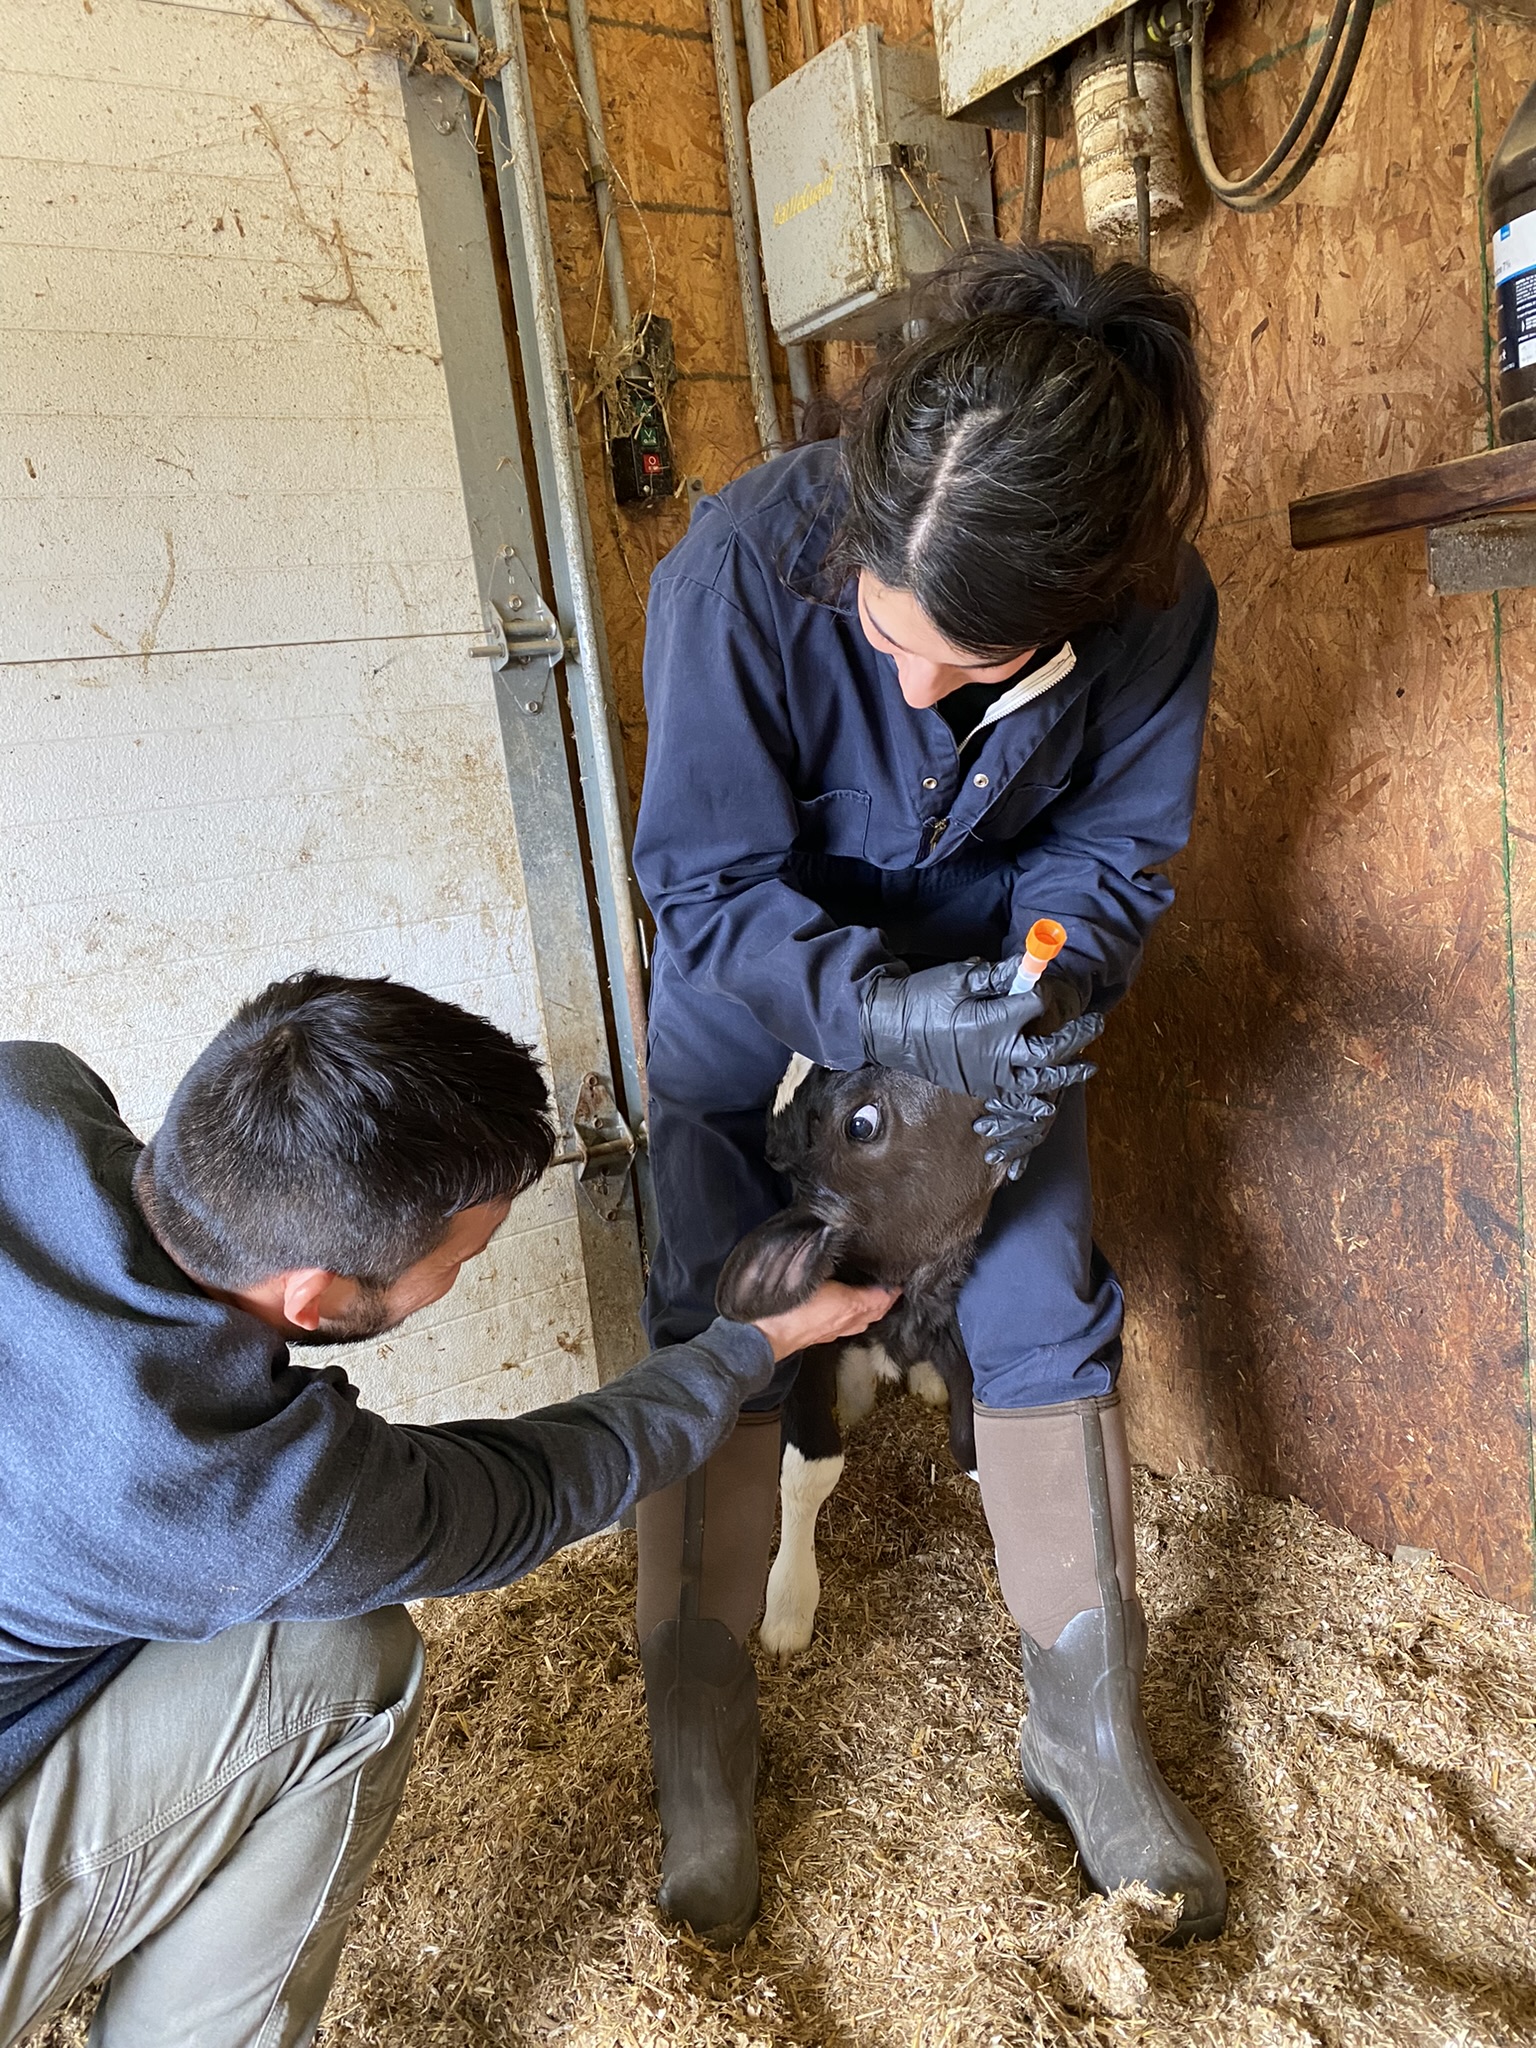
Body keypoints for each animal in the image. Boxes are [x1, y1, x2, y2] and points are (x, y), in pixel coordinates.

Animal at [716, 1064, 1003, 1654]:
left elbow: (975, 1450)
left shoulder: (952, 1326)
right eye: (861, 1124)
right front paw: (788, 1605)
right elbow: (809, 1469)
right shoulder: (806, 1345)